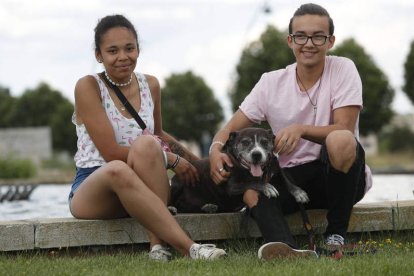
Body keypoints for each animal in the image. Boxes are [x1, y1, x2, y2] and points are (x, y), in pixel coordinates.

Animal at [168, 127, 308, 213]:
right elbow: (251, 182)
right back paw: (171, 208)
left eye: (264, 142)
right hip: (176, 185)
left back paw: (209, 207)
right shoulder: (232, 187)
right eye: (245, 142)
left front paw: (298, 192)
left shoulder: (275, 168)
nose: (256, 154)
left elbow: (286, 180)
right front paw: (267, 187)